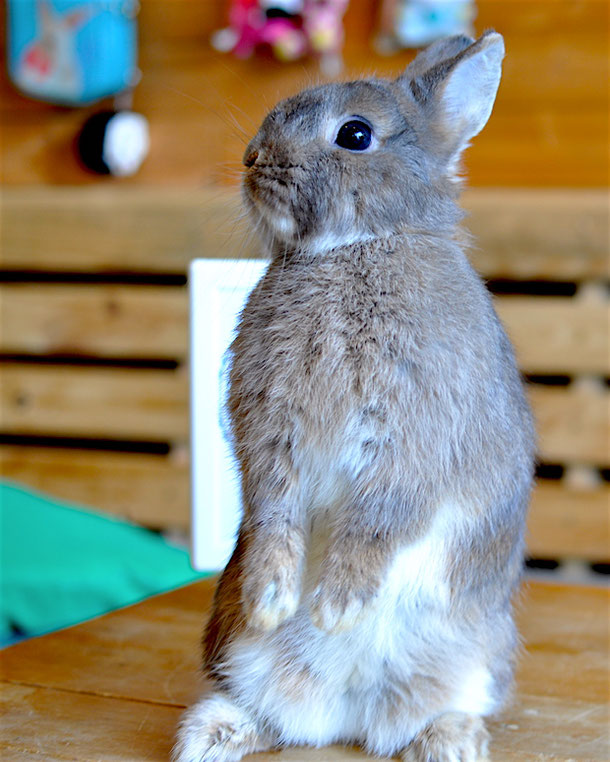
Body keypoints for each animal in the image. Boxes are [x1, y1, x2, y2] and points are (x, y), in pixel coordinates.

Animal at [175, 29, 532, 760]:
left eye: (356, 134)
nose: (252, 158)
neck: (353, 246)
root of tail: (349, 714)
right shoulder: (269, 435)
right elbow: (275, 511)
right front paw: (274, 598)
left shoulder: (410, 438)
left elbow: (377, 521)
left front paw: (336, 606)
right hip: (240, 653)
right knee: (272, 716)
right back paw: (212, 733)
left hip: (477, 656)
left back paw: (449, 737)